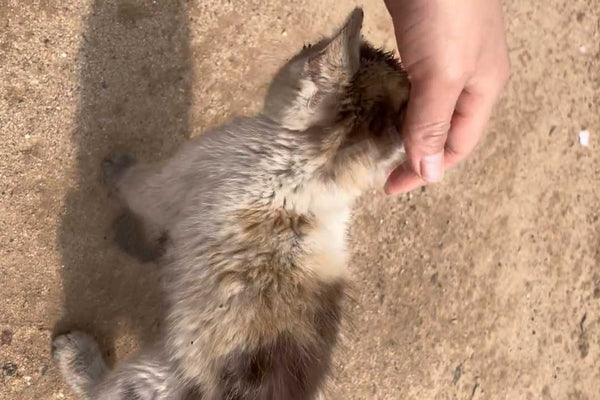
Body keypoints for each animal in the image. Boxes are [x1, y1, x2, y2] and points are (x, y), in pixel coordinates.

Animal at [52, 9, 408, 400]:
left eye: (308, 49)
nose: (301, 48)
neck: (310, 173)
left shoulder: (181, 175)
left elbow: (138, 186)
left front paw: (117, 170)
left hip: (153, 377)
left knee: (105, 390)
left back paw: (76, 355)